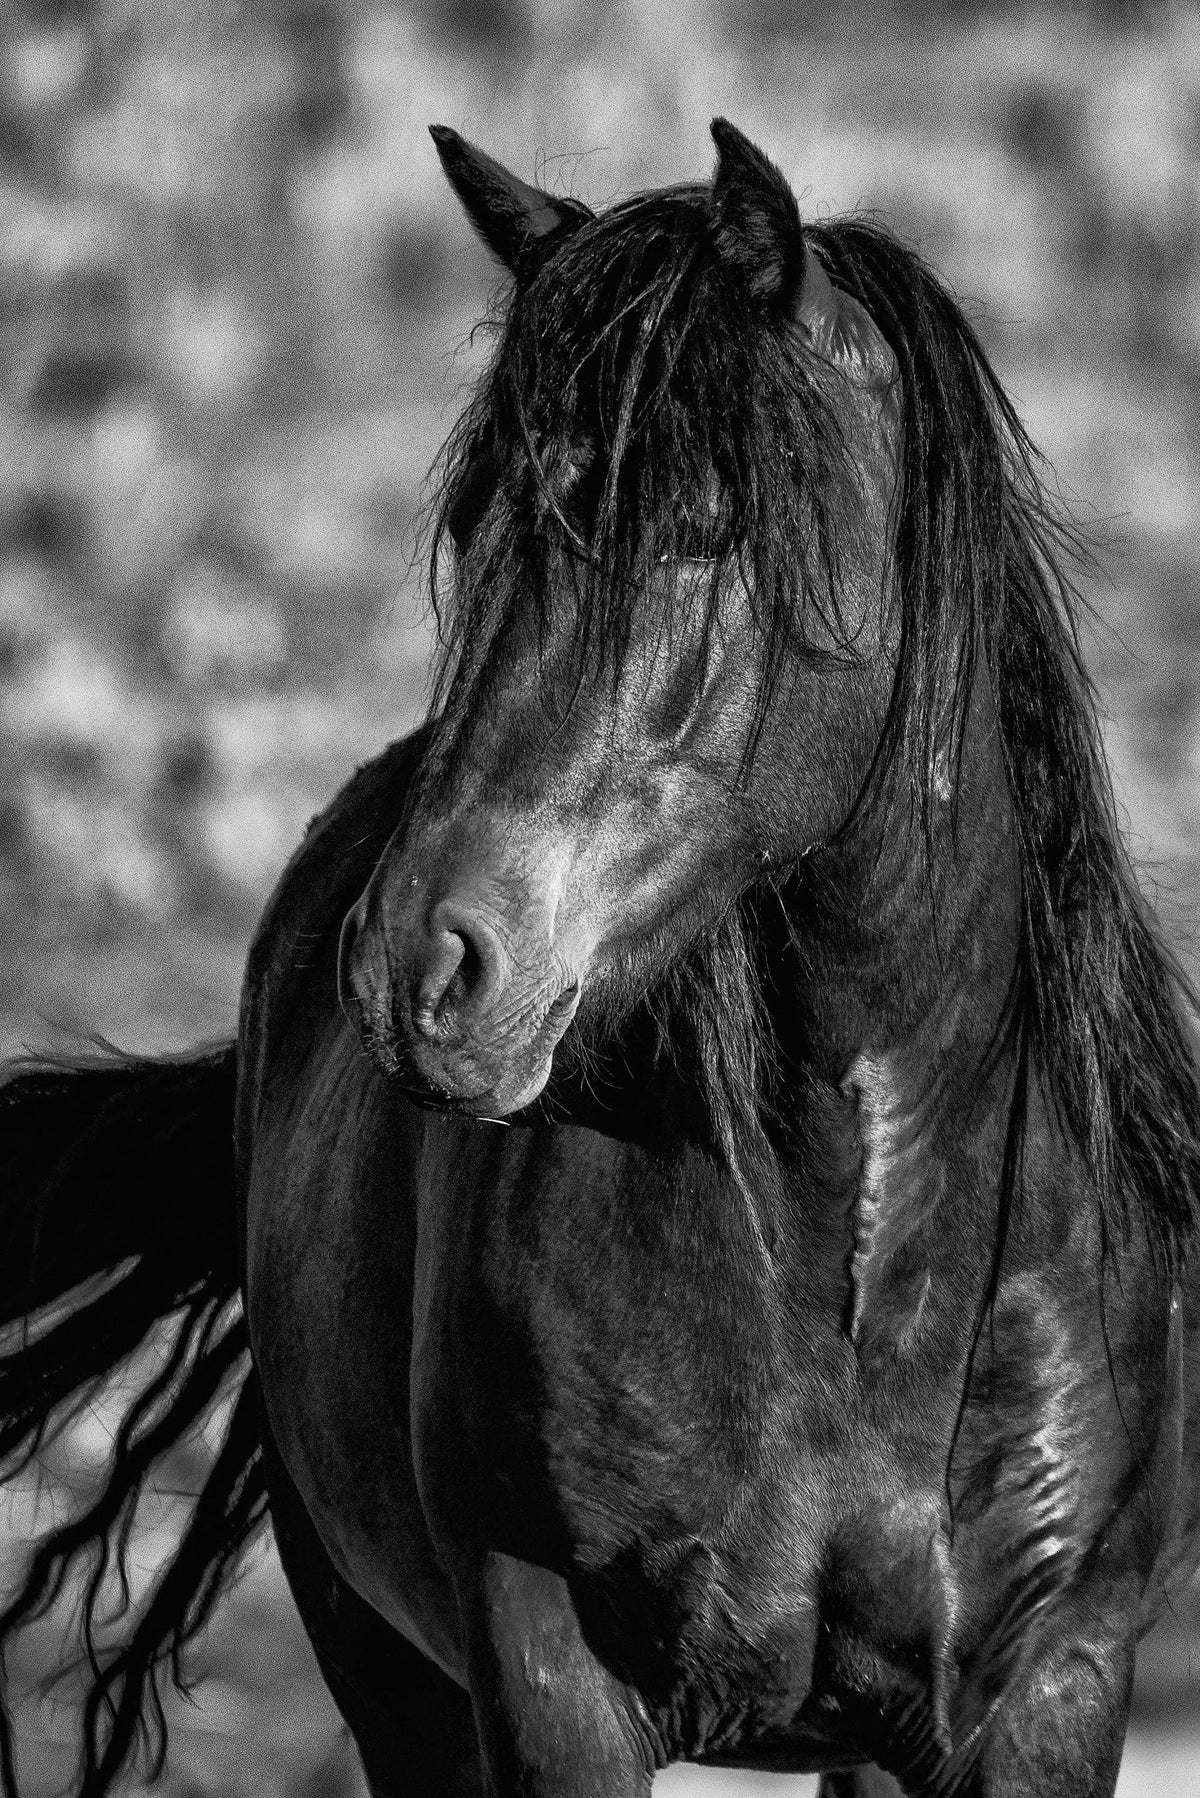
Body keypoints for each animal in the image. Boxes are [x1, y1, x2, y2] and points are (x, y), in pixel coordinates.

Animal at [2, 117, 1199, 1798]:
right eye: (475, 524)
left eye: (706, 528)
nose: (419, 970)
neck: (864, 1272)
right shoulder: (548, 1674)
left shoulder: (1048, 1693)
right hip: (388, 1668)